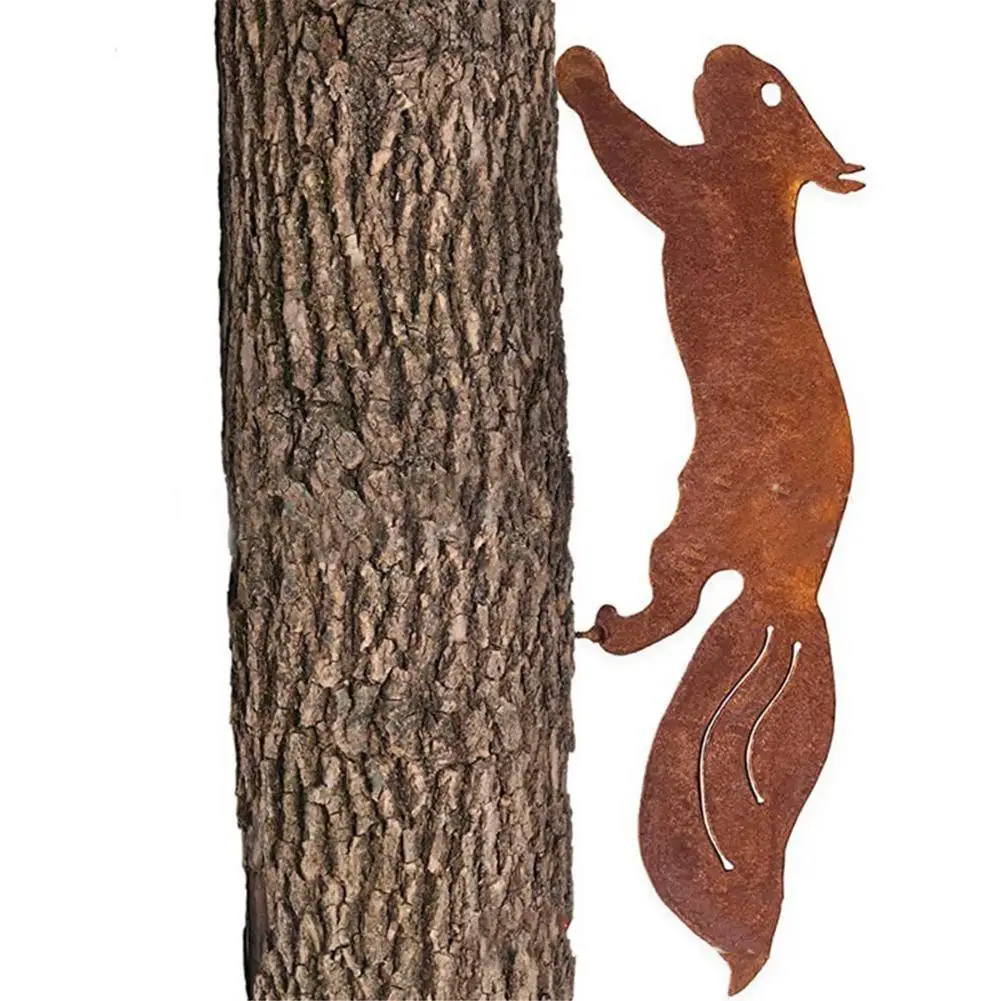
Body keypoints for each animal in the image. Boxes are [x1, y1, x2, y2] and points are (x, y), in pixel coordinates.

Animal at [557, 44, 862, 994]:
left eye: (768, 90)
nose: (721, 50)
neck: (765, 187)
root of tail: (791, 589)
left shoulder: (695, 190)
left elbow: (636, 158)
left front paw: (579, 73)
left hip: (690, 523)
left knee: (674, 604)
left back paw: (608, 627)